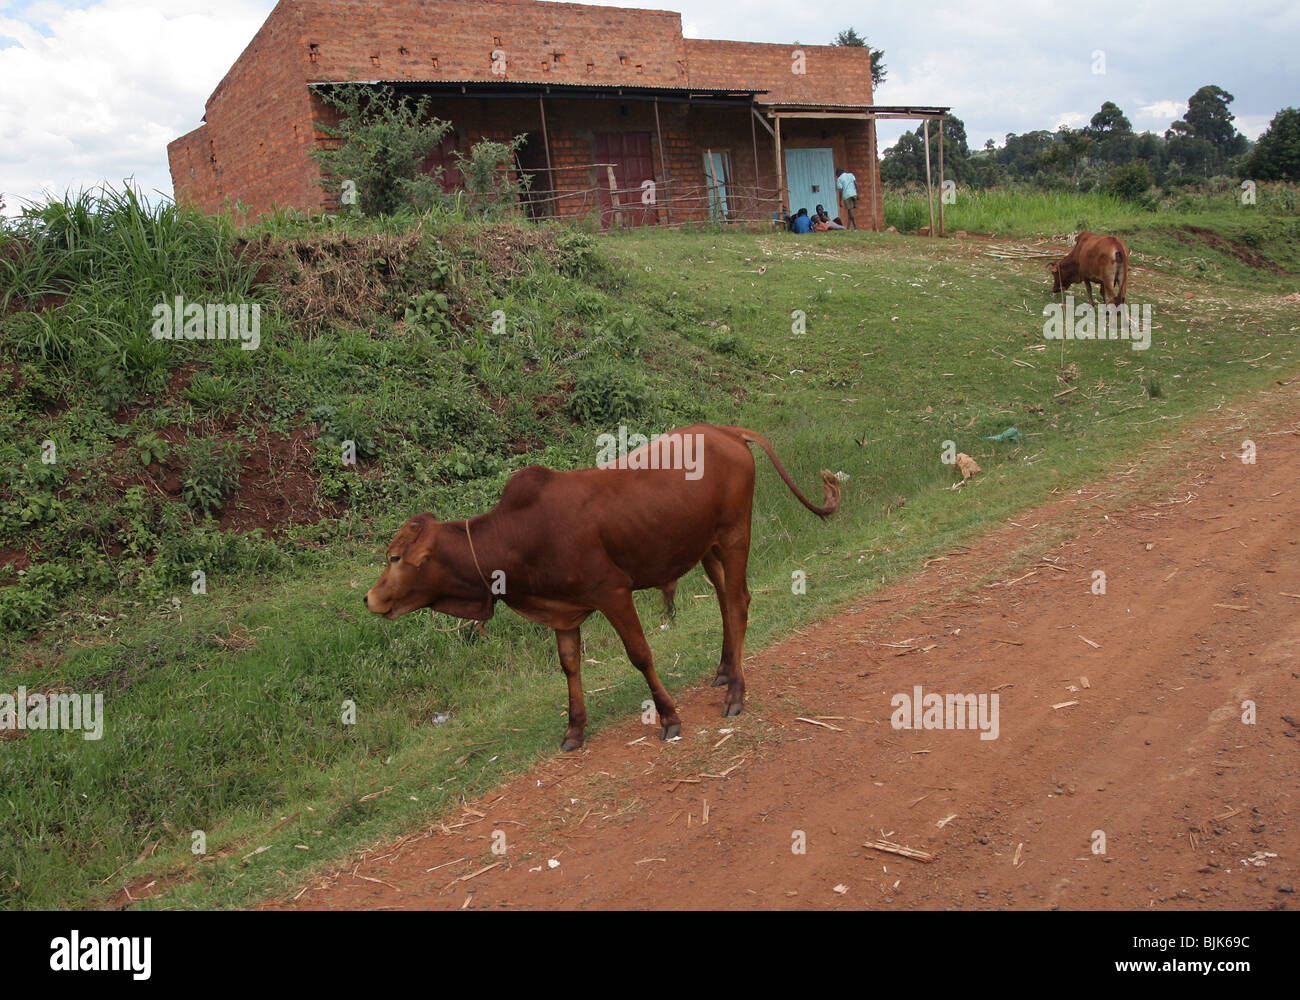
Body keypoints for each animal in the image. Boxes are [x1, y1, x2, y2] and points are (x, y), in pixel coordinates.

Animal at [364, 424, 842, 751]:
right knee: (726, 600)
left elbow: (640, 654)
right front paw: (574, 728)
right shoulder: (563, 611)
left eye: (394, 557)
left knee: (740, 600)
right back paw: (724, 670)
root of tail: (724, 430)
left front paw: (668, 716)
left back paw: (736, 691)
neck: (519, 533)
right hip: (706, 546)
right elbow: (569, 665)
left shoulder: (612, 593)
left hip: (734, 535)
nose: (369, 598)